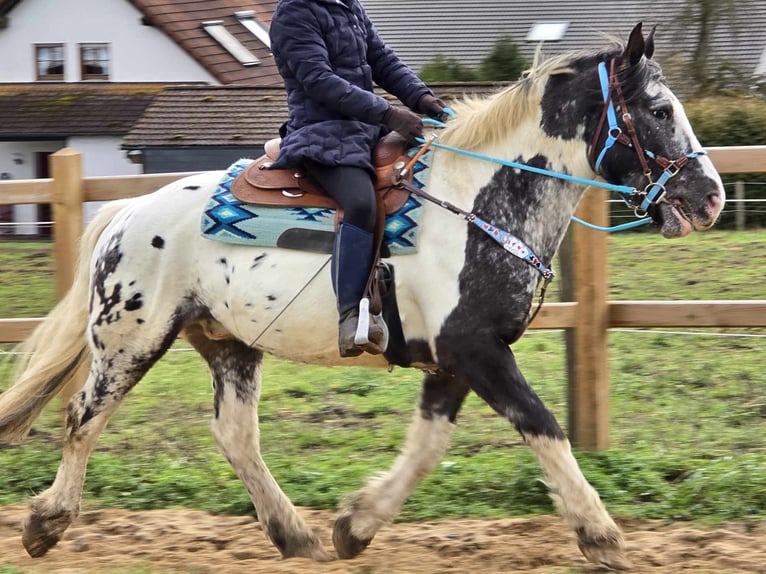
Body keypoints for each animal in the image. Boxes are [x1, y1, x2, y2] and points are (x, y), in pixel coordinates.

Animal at [0, 23, 728, 572]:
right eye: (660, 111)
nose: (711, 198)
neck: (477, 202)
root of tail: (125, 211)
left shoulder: (456, 358)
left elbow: (429, 444)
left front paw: (355, 525)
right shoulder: (477, 350)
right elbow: (543, 427)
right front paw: (601, 534)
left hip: (228, 342)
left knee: (235, 434)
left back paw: (295, 535)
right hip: (131, 338)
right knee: (83, 417)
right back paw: (45, 525)